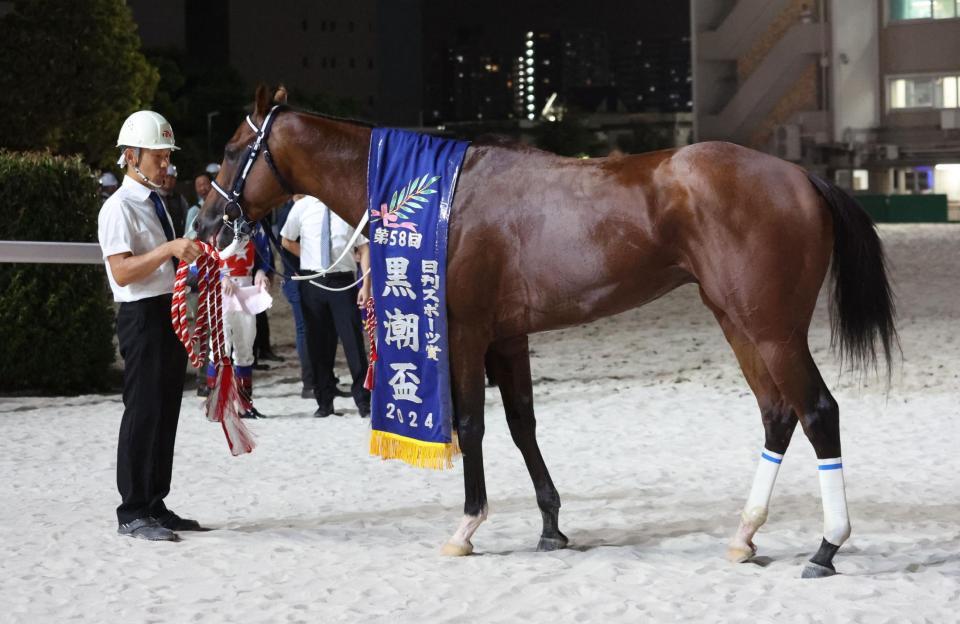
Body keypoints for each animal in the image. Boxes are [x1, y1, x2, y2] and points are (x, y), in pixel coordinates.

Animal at [193, 85, 892, 576]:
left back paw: (826, 548)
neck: (449, 201)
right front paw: (552, 526)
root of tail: (800, 175)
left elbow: (470, 425)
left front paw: (466, 528)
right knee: (778, 413)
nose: (204, 223)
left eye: (230, 150)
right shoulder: (508, 337)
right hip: (738, 323)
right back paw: (745, 536)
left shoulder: (467, 333)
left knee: (818, 411)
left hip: (772, 330)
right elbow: (523, 422)